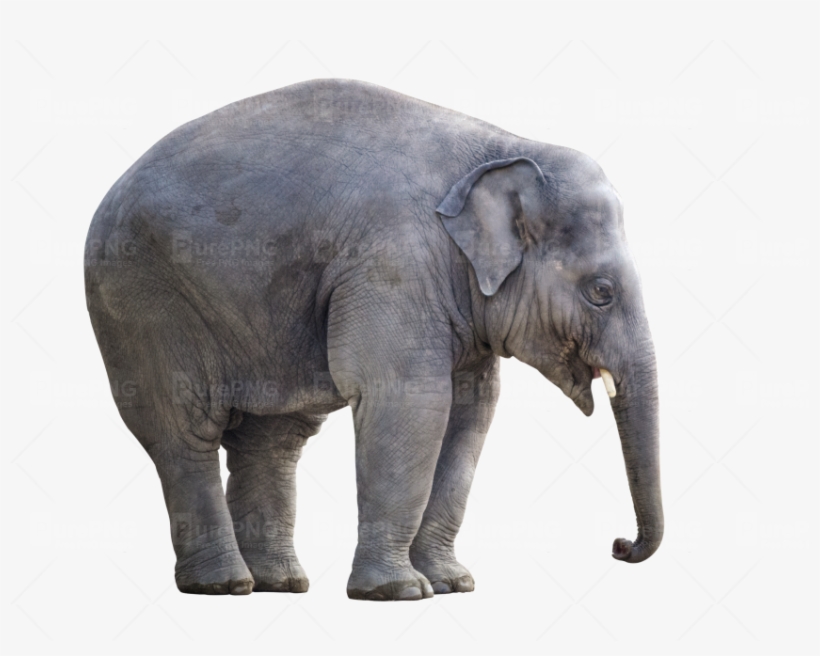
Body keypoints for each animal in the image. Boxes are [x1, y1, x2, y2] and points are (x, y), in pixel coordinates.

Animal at [84, 78, 662, 600]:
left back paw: (279, 584)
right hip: (142, 300)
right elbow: (411, 402)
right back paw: (224, 586)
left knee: (273, 439)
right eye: (601, 292)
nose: (619, 545)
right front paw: (399, 592)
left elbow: (470, 415)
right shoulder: (393, 263)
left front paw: (453, 585)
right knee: (184, 431)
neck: (505, 147)